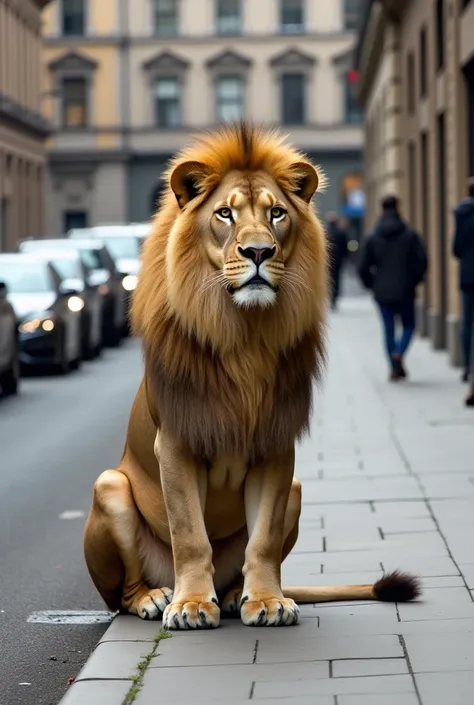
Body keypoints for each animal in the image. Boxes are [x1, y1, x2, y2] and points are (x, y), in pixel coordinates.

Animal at [84, 124, 418, 628]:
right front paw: (190, 605)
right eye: (225, 213)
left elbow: (263, 540)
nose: (259, 251)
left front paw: (267, 601)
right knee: (122, 592)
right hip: (109, 487)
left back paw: (232, 595)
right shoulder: (176, 444)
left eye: (276, 213)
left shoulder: (276, 445)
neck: (245, 338)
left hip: (296, 491)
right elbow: (190, 535)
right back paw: (156, 597)